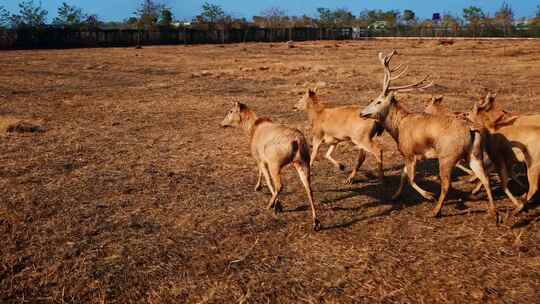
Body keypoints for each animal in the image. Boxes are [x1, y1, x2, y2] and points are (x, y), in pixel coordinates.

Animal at [220, 102, 320, 230]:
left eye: (231, 111)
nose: (222, 123)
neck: (250, 130)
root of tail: (297, 141)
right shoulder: (262, 160)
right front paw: (258, 187)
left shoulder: (260, 159)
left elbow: (266, 178)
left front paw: (274, 202)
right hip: (303, 162)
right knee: (308, 187)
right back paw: (315, 221)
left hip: (275, 164)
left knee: (279, 185)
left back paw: (271, 205)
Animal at [358, 50, 498, 221]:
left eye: (378, 101)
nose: (362, 113)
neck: (398, 128)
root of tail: (471, 130)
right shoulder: (416, 155)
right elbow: (403, 175)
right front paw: (395, 196)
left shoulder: (409, 152)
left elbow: (411, 178)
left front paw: (429, 195)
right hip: (475, 154)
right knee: (485, 178)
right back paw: (494, 212)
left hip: (447, 157)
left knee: (447, 184)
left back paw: (436, 211)